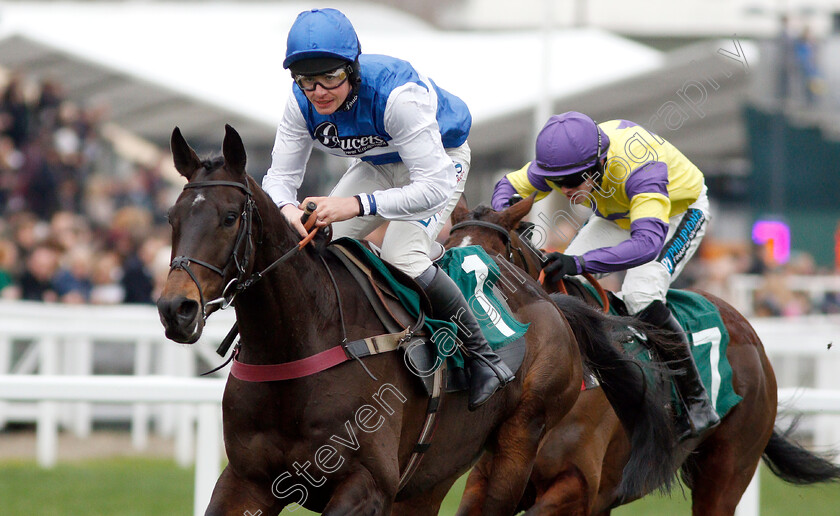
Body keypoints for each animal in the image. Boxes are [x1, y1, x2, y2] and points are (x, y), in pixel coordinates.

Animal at [153, 126, 676, 516]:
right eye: (171, 217)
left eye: (228, 217)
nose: (177, 309)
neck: (300, 343)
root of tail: (545, 298)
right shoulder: (247, 480)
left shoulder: (367, 485)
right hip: (434, 474)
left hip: (516, 447)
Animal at [450, 196, 840, 512]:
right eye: (446, 250)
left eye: (491, 266)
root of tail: (747, 330)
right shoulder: (488, 478)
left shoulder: (577, 486)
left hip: (728, 470)